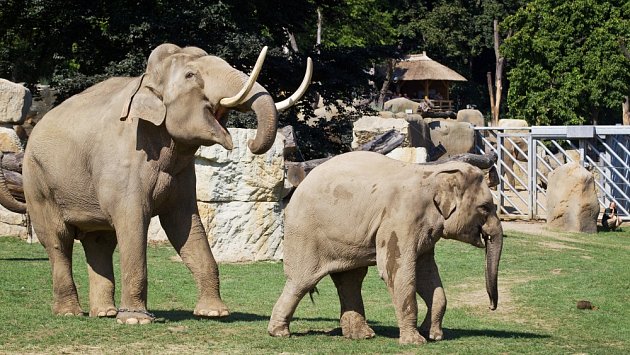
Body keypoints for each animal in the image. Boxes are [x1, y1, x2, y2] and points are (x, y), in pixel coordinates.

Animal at [0, 43, 314, 326]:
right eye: (190, 75)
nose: (249, 144)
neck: (145, 82)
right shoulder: (124, 159)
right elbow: (133, 224)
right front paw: (135, 320)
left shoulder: (182, 176)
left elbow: (185, 224)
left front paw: (214, 313)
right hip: (39, 181)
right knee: (58, 240)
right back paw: (70, 314)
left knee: (99, 241)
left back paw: (105, 313)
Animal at [270, 152, 506, 346]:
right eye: (485, 207)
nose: (491, 307)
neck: (433, 174)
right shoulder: (400, 219)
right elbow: (396, 270)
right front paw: (415, 342)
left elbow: (426, 273)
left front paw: (434, 335)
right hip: (305, 232)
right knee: (302, 280)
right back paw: (279, 333)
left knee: (351, 280)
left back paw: (361, 335)